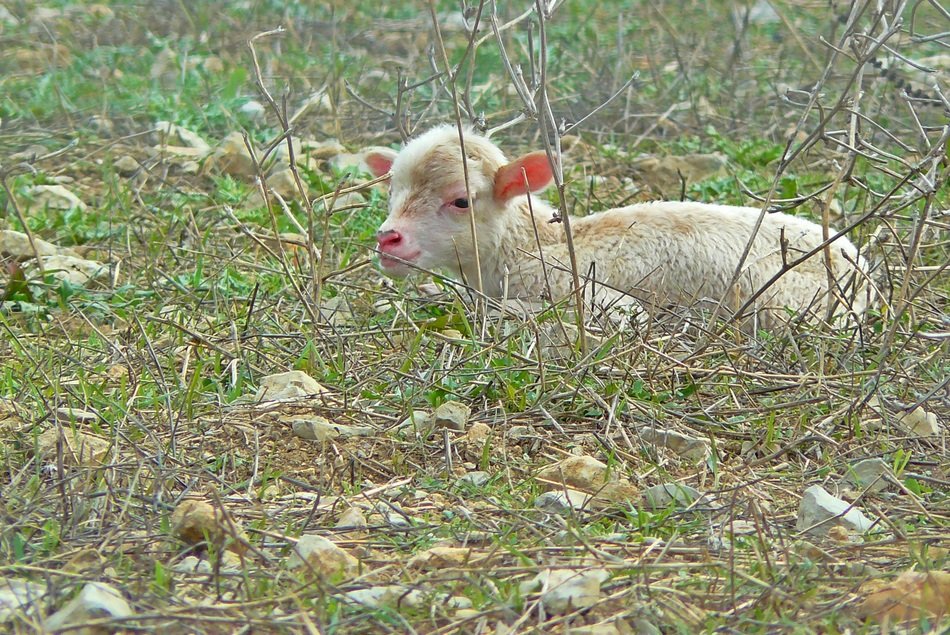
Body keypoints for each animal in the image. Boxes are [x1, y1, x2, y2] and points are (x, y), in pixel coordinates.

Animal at [365, 124, 871, 330]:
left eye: (461, 201)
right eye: (391, 190)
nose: (388, 238)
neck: (534, 246)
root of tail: (860, 264)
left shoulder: (595, 297)